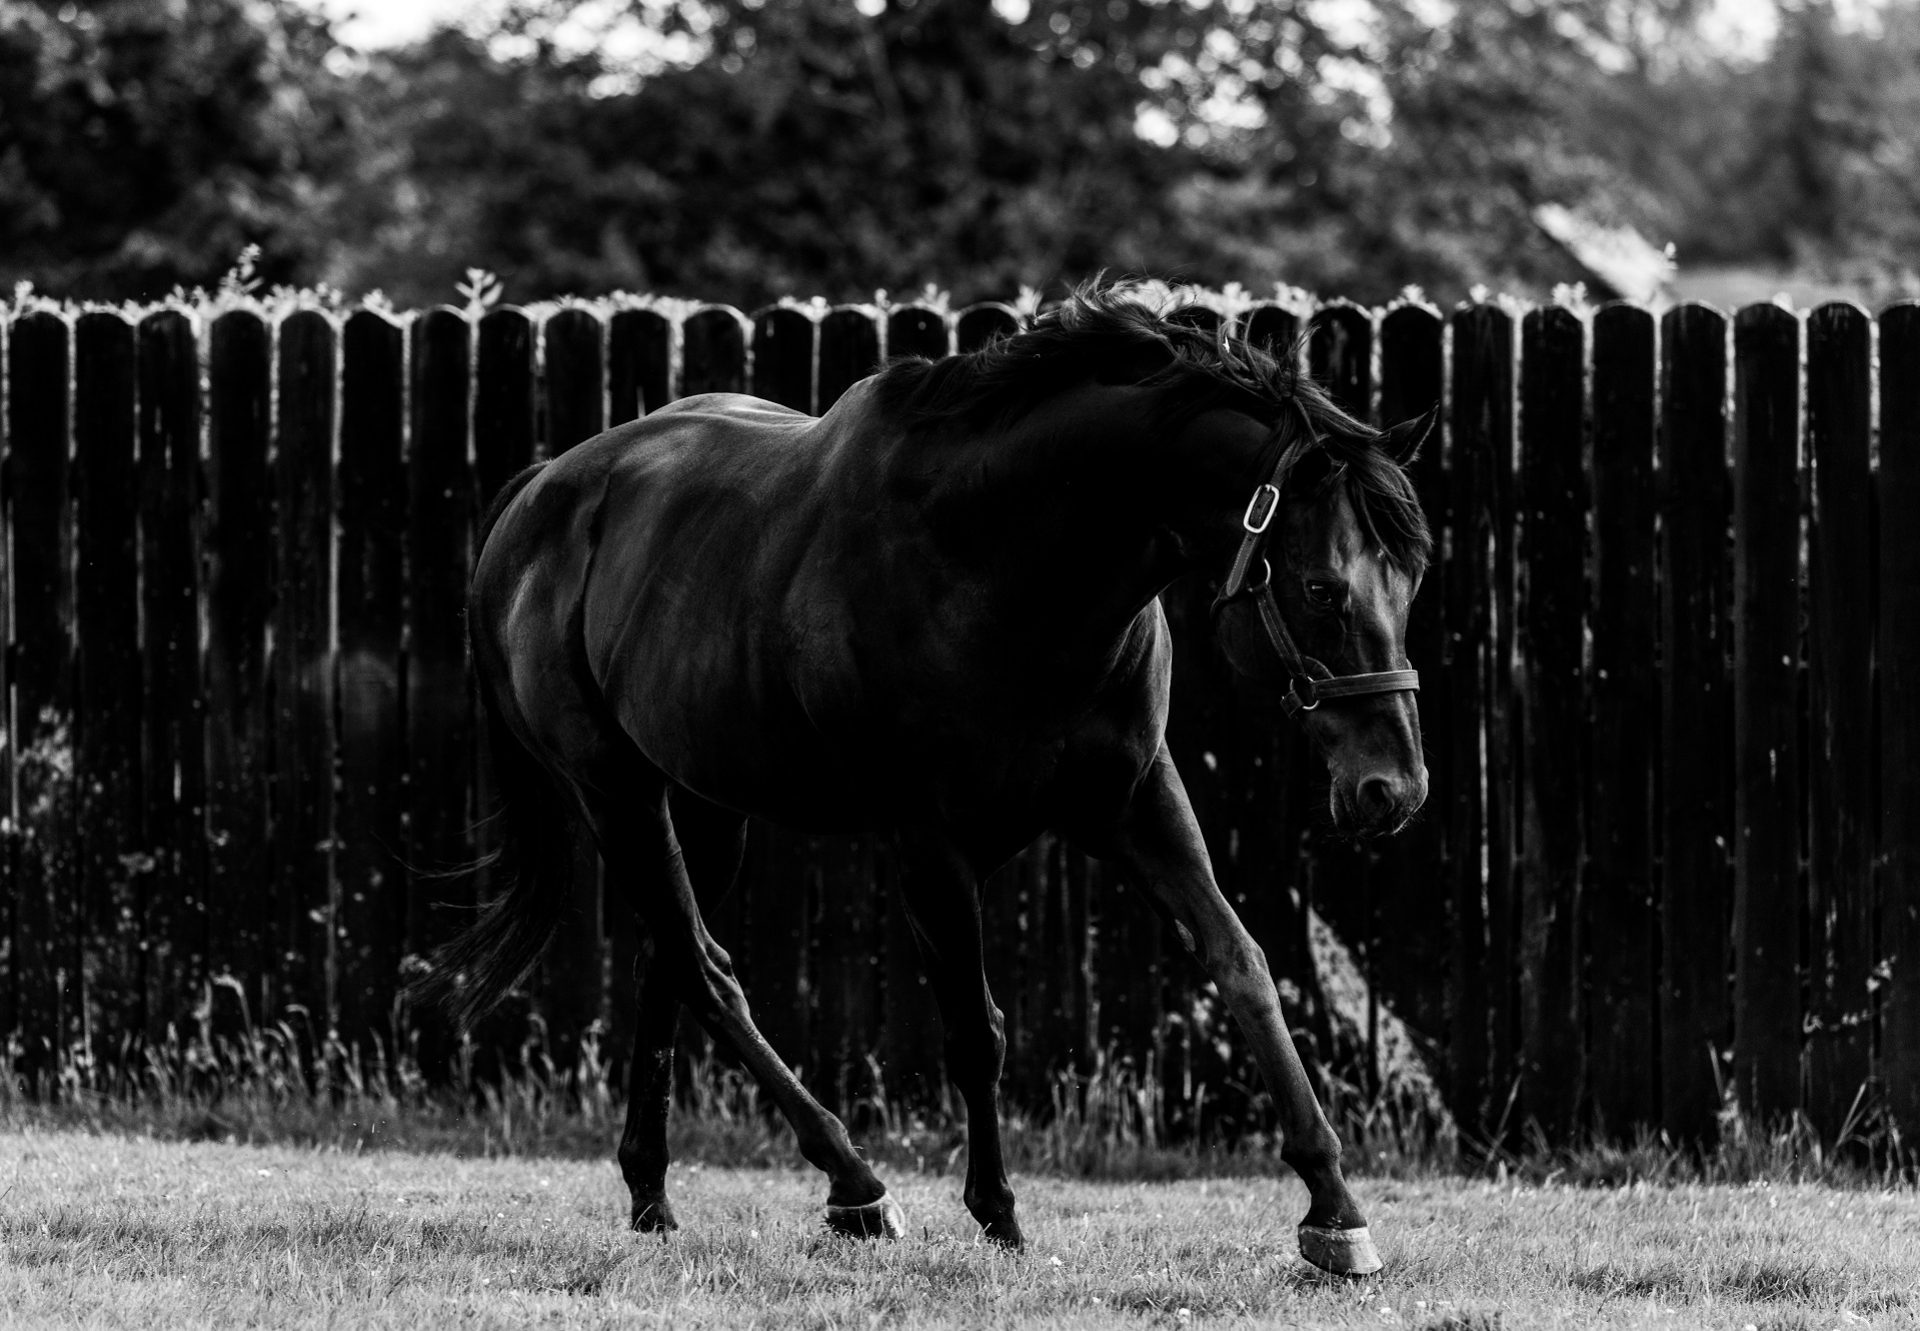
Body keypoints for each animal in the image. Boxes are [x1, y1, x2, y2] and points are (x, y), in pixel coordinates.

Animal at [424, 282, 1443, 1275]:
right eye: (1322, 589)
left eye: (1410, 579)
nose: (1392, 789)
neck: (1006, 559)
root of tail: (535, 499)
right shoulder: (930, 843)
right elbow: (975, 1030)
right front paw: (998, 1213)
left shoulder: (1138, 802)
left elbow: (1243, 965)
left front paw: (1336, 1211)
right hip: (618, 793)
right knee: (708, 970)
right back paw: (856, 1185)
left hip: (710, 808)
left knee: (668, 964)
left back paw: (653, 1193)